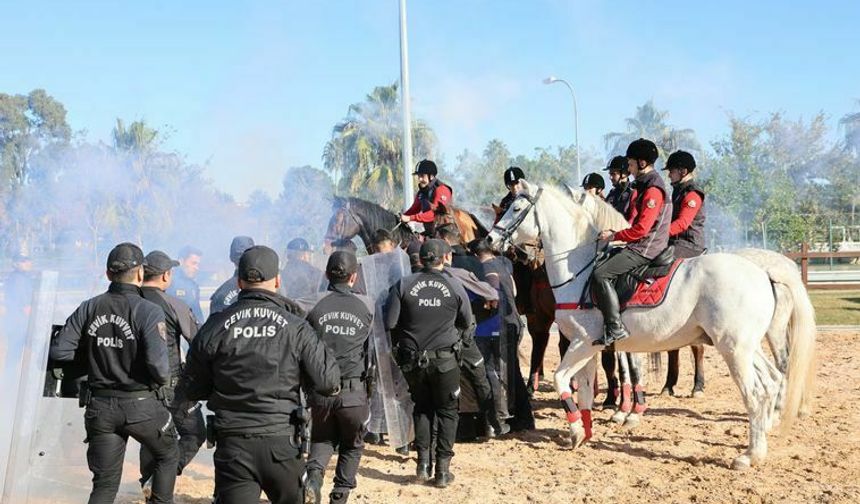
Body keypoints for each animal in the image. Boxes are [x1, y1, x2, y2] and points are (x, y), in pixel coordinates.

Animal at [488, 181, 816, 468]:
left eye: (516, 208)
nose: (489, 240)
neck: (580, 272)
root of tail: (764, 271)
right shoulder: (590, 348)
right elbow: (584, 391)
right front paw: (584, 432)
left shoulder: (582, 344)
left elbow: (562, 380)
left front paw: (585, 428)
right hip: (747, 348)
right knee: (772, 380)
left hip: (735, 350)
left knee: (756, 392)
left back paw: (750, 455)